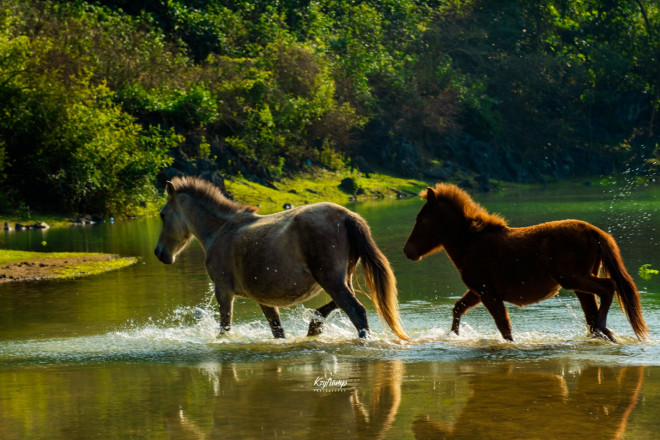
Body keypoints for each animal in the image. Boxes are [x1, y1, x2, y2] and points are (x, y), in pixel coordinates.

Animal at [155, 175, 408, 340]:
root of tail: (347, 216)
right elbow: (278, 331)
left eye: (162, 215)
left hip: (331, 281)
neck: (221, 230)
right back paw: (314, 328)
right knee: (337, 307)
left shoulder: (223, 292)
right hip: (340, 280)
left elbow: (224, 328)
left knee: (357, 311)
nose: (160, 253)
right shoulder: (264, 300)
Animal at [402, 184, 648, 342]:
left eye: (421, 219)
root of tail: (594, 232)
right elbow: (458, 308)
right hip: (580, 283)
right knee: (593, 310)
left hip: (573, 279)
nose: (408, 251)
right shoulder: (478, 291)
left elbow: (504, 327)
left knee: (609, 288)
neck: (471, 243)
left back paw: (602, 328)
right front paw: (454, 335)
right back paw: (604, 333)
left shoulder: (487, 293)